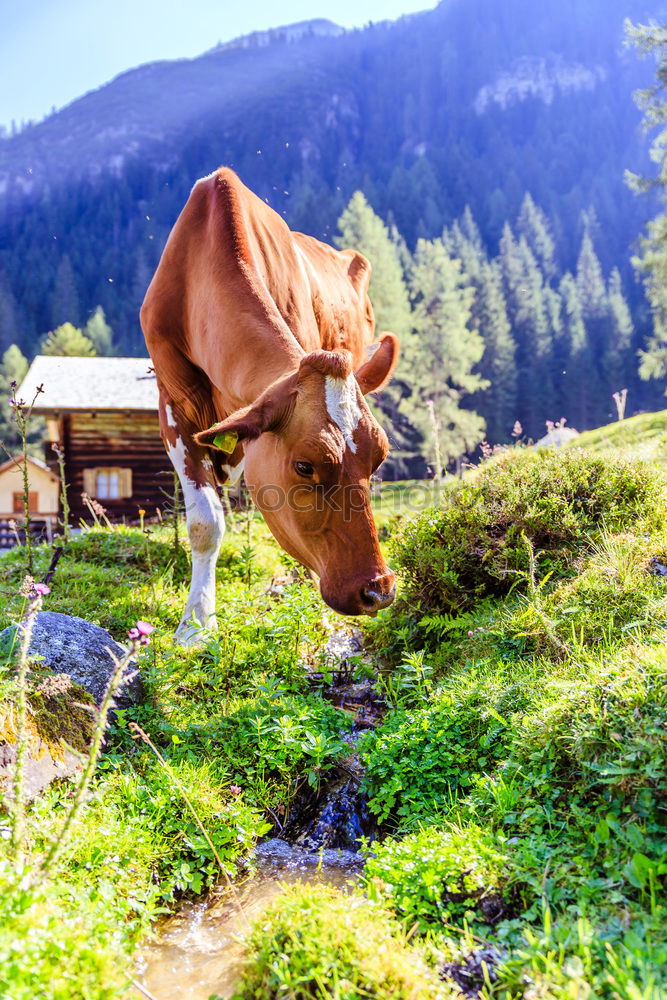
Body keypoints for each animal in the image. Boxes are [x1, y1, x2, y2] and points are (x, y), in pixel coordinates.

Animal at [142, 168, 400, 644]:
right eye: (304, 466)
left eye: (377, 461)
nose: (379, 590)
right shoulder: (173, 403)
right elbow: (205, 521)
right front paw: (196, 625)